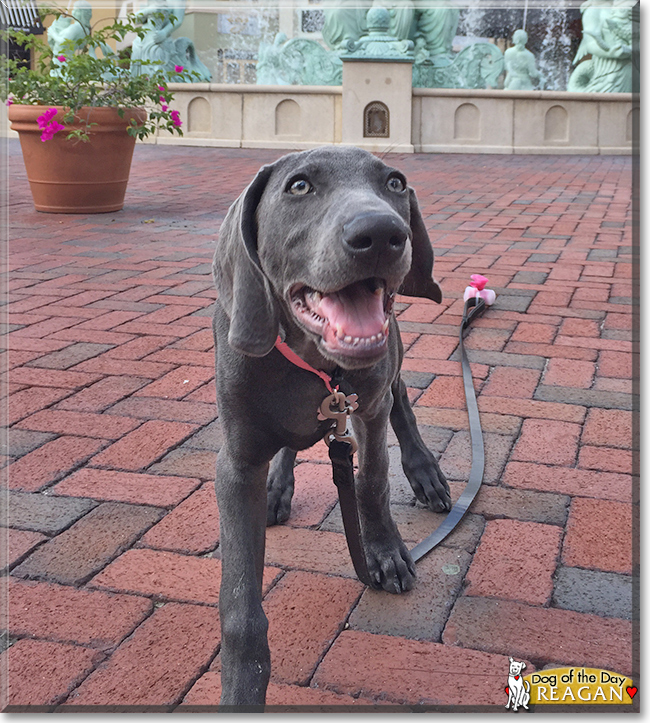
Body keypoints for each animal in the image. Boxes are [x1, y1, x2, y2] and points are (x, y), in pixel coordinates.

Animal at [213, 146, 450, 708]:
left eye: (395, 182)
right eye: (299, 186)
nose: (382, 233)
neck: (312, 363)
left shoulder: (366, 409)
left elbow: (372, 481)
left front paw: (383, 552)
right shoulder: (235, 464)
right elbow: (240, 605)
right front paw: (243, 686)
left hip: (390, 362)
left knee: (403, 403)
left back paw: (425, 471)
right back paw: (278, 486)